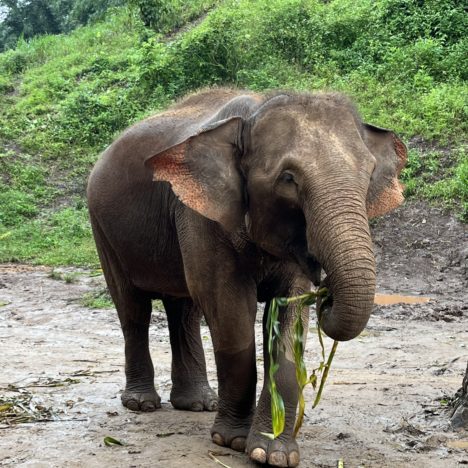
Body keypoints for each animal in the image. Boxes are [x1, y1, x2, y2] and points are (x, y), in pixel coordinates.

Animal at [87, 88, 406, 468]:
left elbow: (288, 319)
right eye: (288, 178)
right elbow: (230, 311)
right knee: (133, 308)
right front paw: (232, 441)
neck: (253, 113)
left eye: (369, 174)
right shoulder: (201, 215)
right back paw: (142, 403)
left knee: (184, 309)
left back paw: (198, 403)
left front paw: (273, 453)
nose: (326, 292)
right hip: (102, 227)